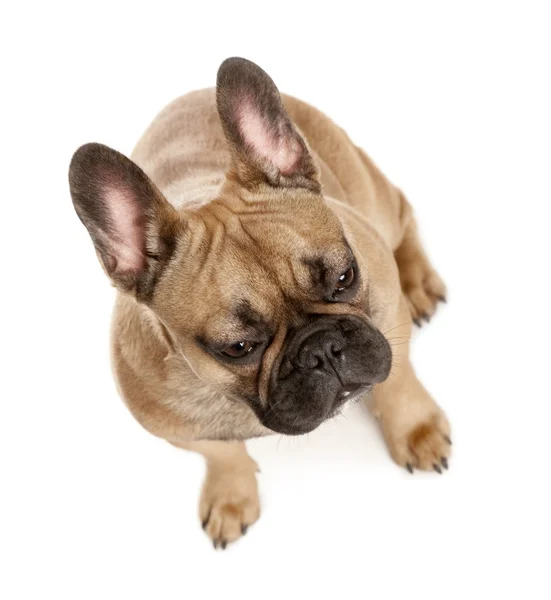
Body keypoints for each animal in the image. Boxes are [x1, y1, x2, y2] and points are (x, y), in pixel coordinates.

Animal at [68, 56, 452, 548]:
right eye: (238, 348)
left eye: (345, 277)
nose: (322, 348)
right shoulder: (171, 425)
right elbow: (222, 455)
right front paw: (231, 495)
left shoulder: (386, 316)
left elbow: (398, 384)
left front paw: (416, 431)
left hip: (373, 195)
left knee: (404, 215)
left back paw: (418, 281)